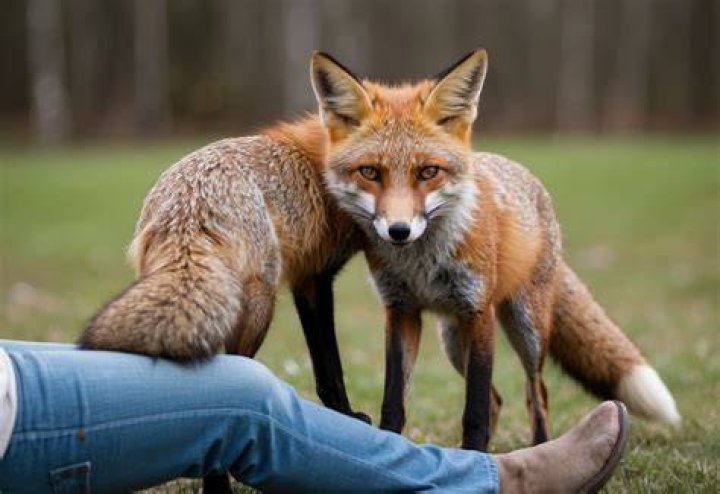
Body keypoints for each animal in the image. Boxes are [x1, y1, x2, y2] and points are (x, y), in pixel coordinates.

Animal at [309, 48, 681, 450]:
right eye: (370, 173)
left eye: (428, 172)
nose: (398, 231)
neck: (422, 263)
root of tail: (518, 170)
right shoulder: (400, 311)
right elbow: (394, 402)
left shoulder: (478, 311)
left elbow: (473, 410)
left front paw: (475, 452)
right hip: (453, 340)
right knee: (497, 399)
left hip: (526, 327)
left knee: (536, 393)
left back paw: (538, 447)